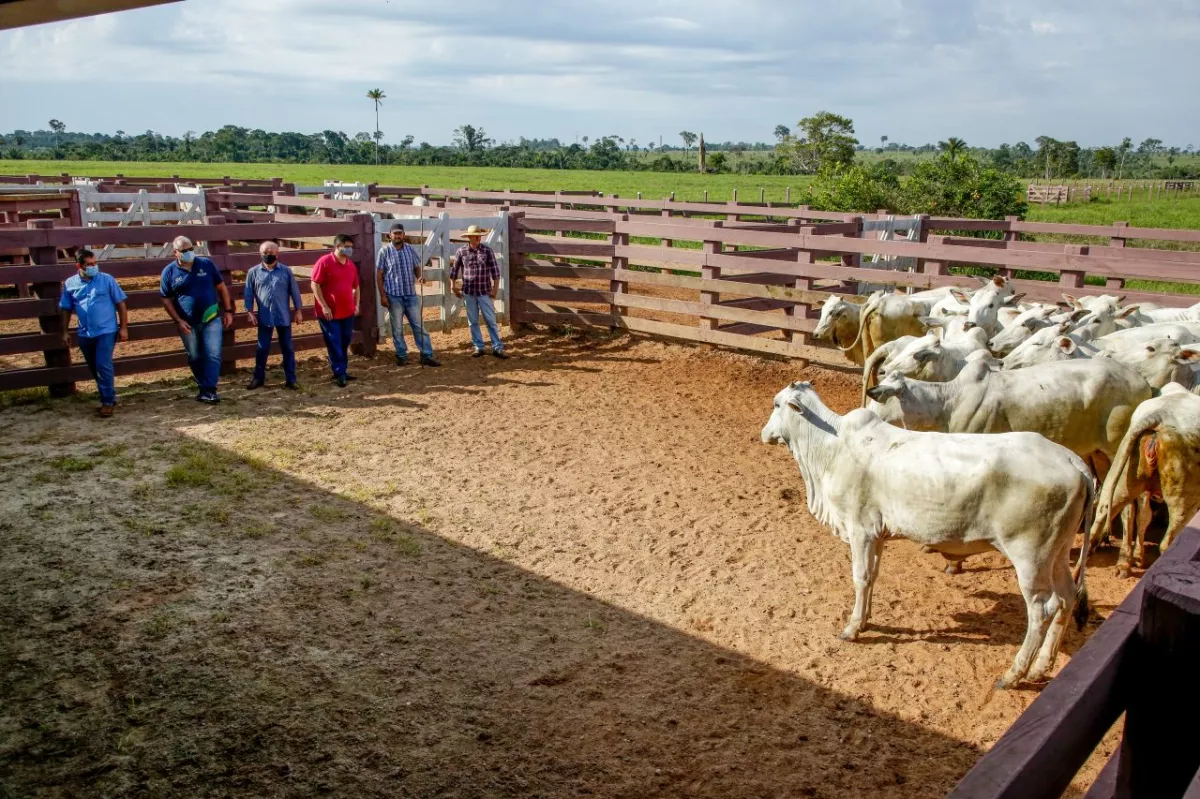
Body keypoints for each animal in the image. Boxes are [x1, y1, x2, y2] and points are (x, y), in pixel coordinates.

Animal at [763, 379, 1094, 686]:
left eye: (777, 404)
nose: (764, 433)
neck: (831, 448)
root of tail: (1074, 462)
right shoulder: (877, 533)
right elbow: (873, 576)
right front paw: (866, 619)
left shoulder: (860, 530)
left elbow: (860, 577)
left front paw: (853, 628)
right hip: (1057, 552)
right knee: (1067, 597)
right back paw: (1040, 668)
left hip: (1030, 556)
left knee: (1041, 609)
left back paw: (1014, 674)